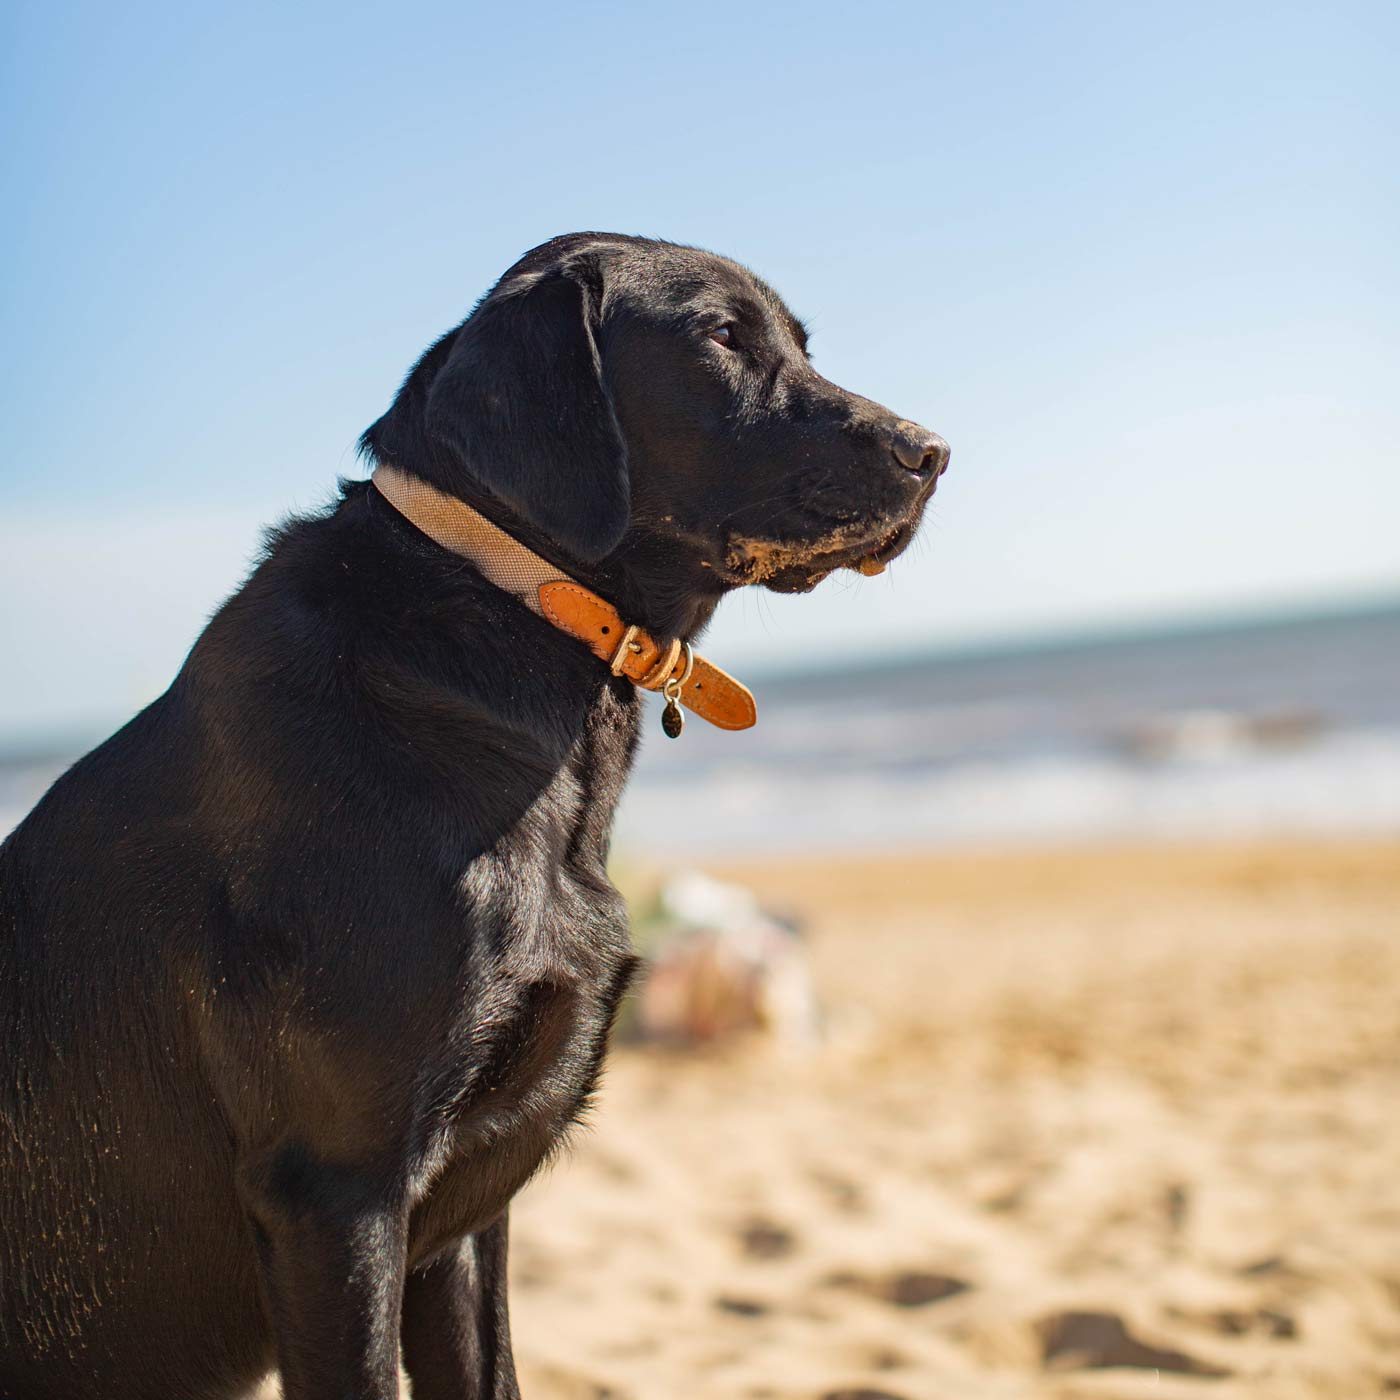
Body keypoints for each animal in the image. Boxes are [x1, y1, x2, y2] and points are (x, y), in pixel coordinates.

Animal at [0, 235, 952, 1394]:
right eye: (722, 336)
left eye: (800, 343)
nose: (932, 452)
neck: (506, 603)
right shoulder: (335, 1191)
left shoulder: (456, 1216)